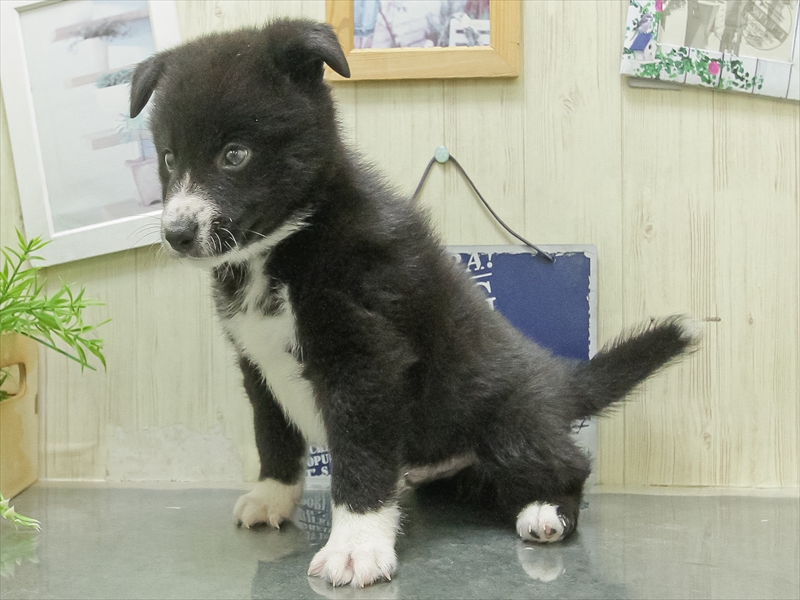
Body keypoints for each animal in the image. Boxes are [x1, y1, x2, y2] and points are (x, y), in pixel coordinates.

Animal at [130, 19, 699, 588]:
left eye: (235, 154)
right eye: (169, 157)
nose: (176, 235)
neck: (283, 245)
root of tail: (557, 383)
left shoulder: (365, 359)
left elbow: (360, 455)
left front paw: (356, 544)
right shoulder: (256, 362)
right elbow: (273, 433)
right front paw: (274, 497)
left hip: (512, 424)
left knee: (569, 465)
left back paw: (545, 511)